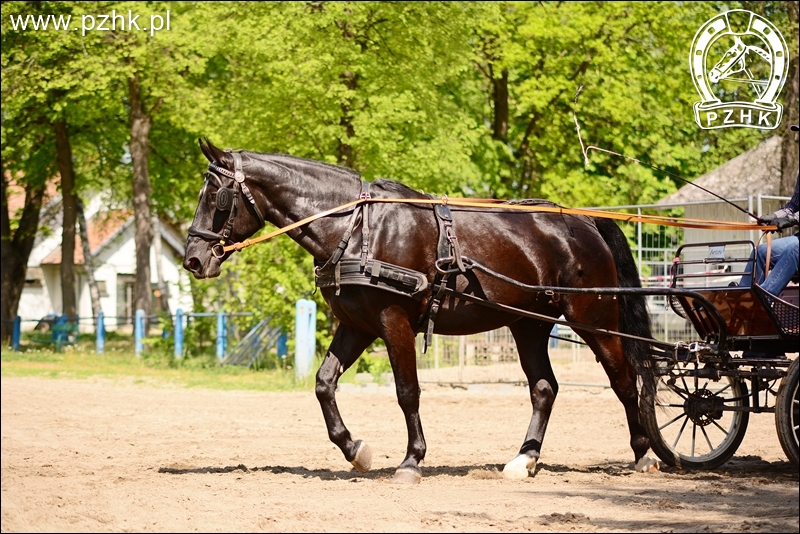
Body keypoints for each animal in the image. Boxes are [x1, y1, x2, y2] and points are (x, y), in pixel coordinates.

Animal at [184, 139, 660, 486]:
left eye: (216, 197)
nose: (193, 260)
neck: (357, 229)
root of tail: (583, 221)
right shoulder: (357, 325)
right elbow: (323, 384)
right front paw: (356, 450)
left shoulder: (393, 322)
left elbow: (407, 391)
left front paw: (411, 461)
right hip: (527, 324)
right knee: (544, 388)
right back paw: (524, 459)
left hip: (593, 319)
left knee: (623, 379)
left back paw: (644, 454)